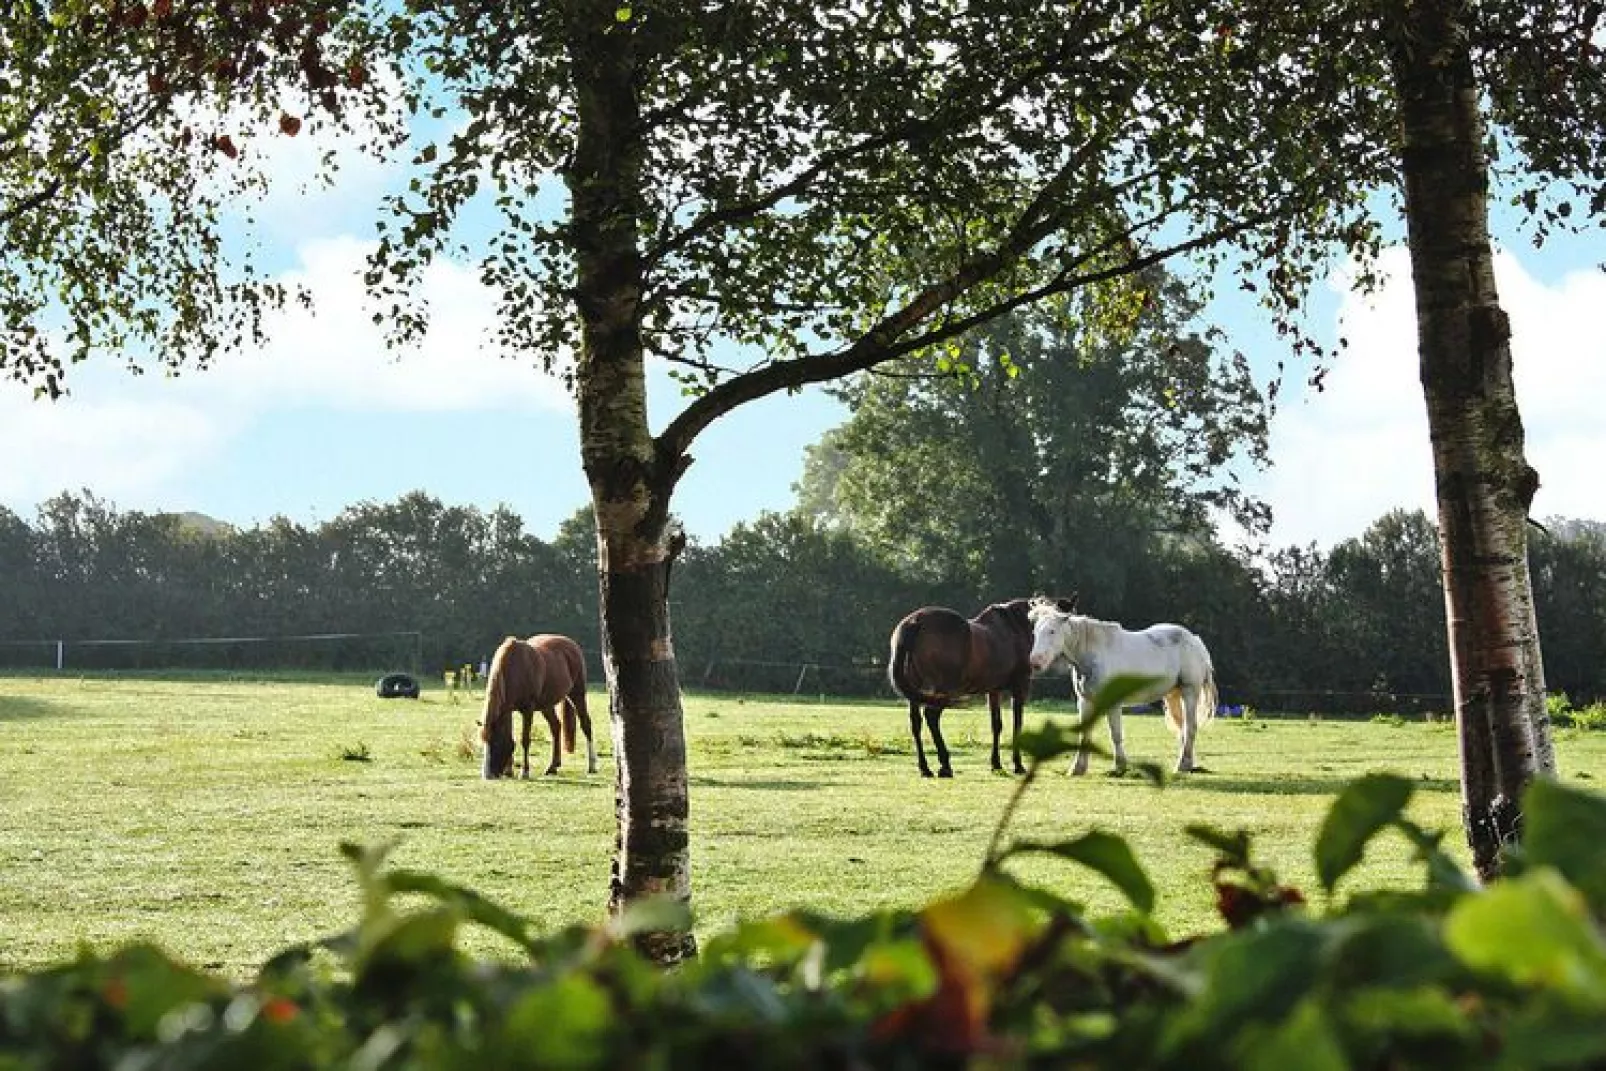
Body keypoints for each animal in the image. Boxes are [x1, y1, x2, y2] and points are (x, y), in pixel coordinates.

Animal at [485, 635, 600, 780]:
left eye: (495, 743)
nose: (488, 775)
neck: (515, 668)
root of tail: (571, 643)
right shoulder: (508, 709)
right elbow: (510, 737)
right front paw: (509, 771)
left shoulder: (527, 710)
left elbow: (525, 739)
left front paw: (524, 772)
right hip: (547, 705)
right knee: (556, 726)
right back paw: (553, 766)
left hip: (577, 695)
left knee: (586, 725)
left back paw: (592, 765)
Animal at [892, 594, 1040, 780]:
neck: (1014, 627)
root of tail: (914, 621)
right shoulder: (1020, 687)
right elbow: (1017, 725)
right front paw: (1018, 765)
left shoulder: (993, 691)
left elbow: (996, 725)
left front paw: (996, 764)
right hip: (944, 689)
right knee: (931, 716)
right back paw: (945, 766)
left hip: (916, 691)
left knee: (916, 723)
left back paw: (925, 768)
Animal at [1027, 600, 1214, 773]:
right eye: (1035, 632)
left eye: (1052, 631)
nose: (1035, 662)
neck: (1094, 654)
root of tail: (1194, 640)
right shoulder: (1085, 701)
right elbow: (1084, 735)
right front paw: (1077, 768)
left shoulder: (1113, 703)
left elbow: (1116, 734)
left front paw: (1119, 766)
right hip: (1173, 695)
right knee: (1183, 729)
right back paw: (1188, 764)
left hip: (1189, 692)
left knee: (1190, 727)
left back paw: (1183, 765)